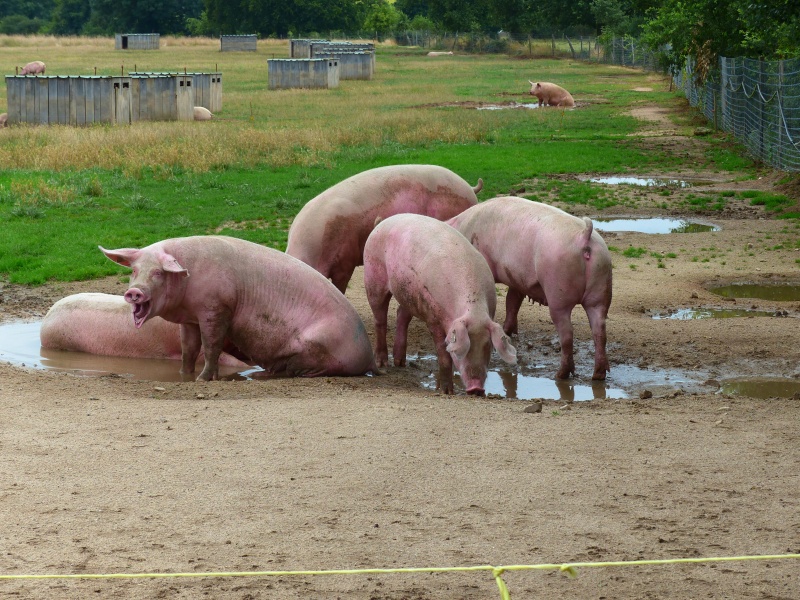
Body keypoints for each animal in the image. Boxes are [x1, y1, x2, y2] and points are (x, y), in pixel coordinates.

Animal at [100, 234, 376, 380]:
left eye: (158, 272)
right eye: (134, 271)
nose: (134, 292)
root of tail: (369, 357)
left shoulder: (216, 308)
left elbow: (211, 346)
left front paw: (203, 379)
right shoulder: (190, 319)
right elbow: (189, 348)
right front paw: (183, 375)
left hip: (315, 350)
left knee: (294, 369)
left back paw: (256, 377)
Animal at [450, 197, 612, 380]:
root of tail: (585, 236)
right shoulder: (517, 279)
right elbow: (512, 302)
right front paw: (508, 331)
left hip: (558, 293)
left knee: (567, 334)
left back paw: (560, 374)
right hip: (601, 289)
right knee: (600, 331)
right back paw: (598, 375)